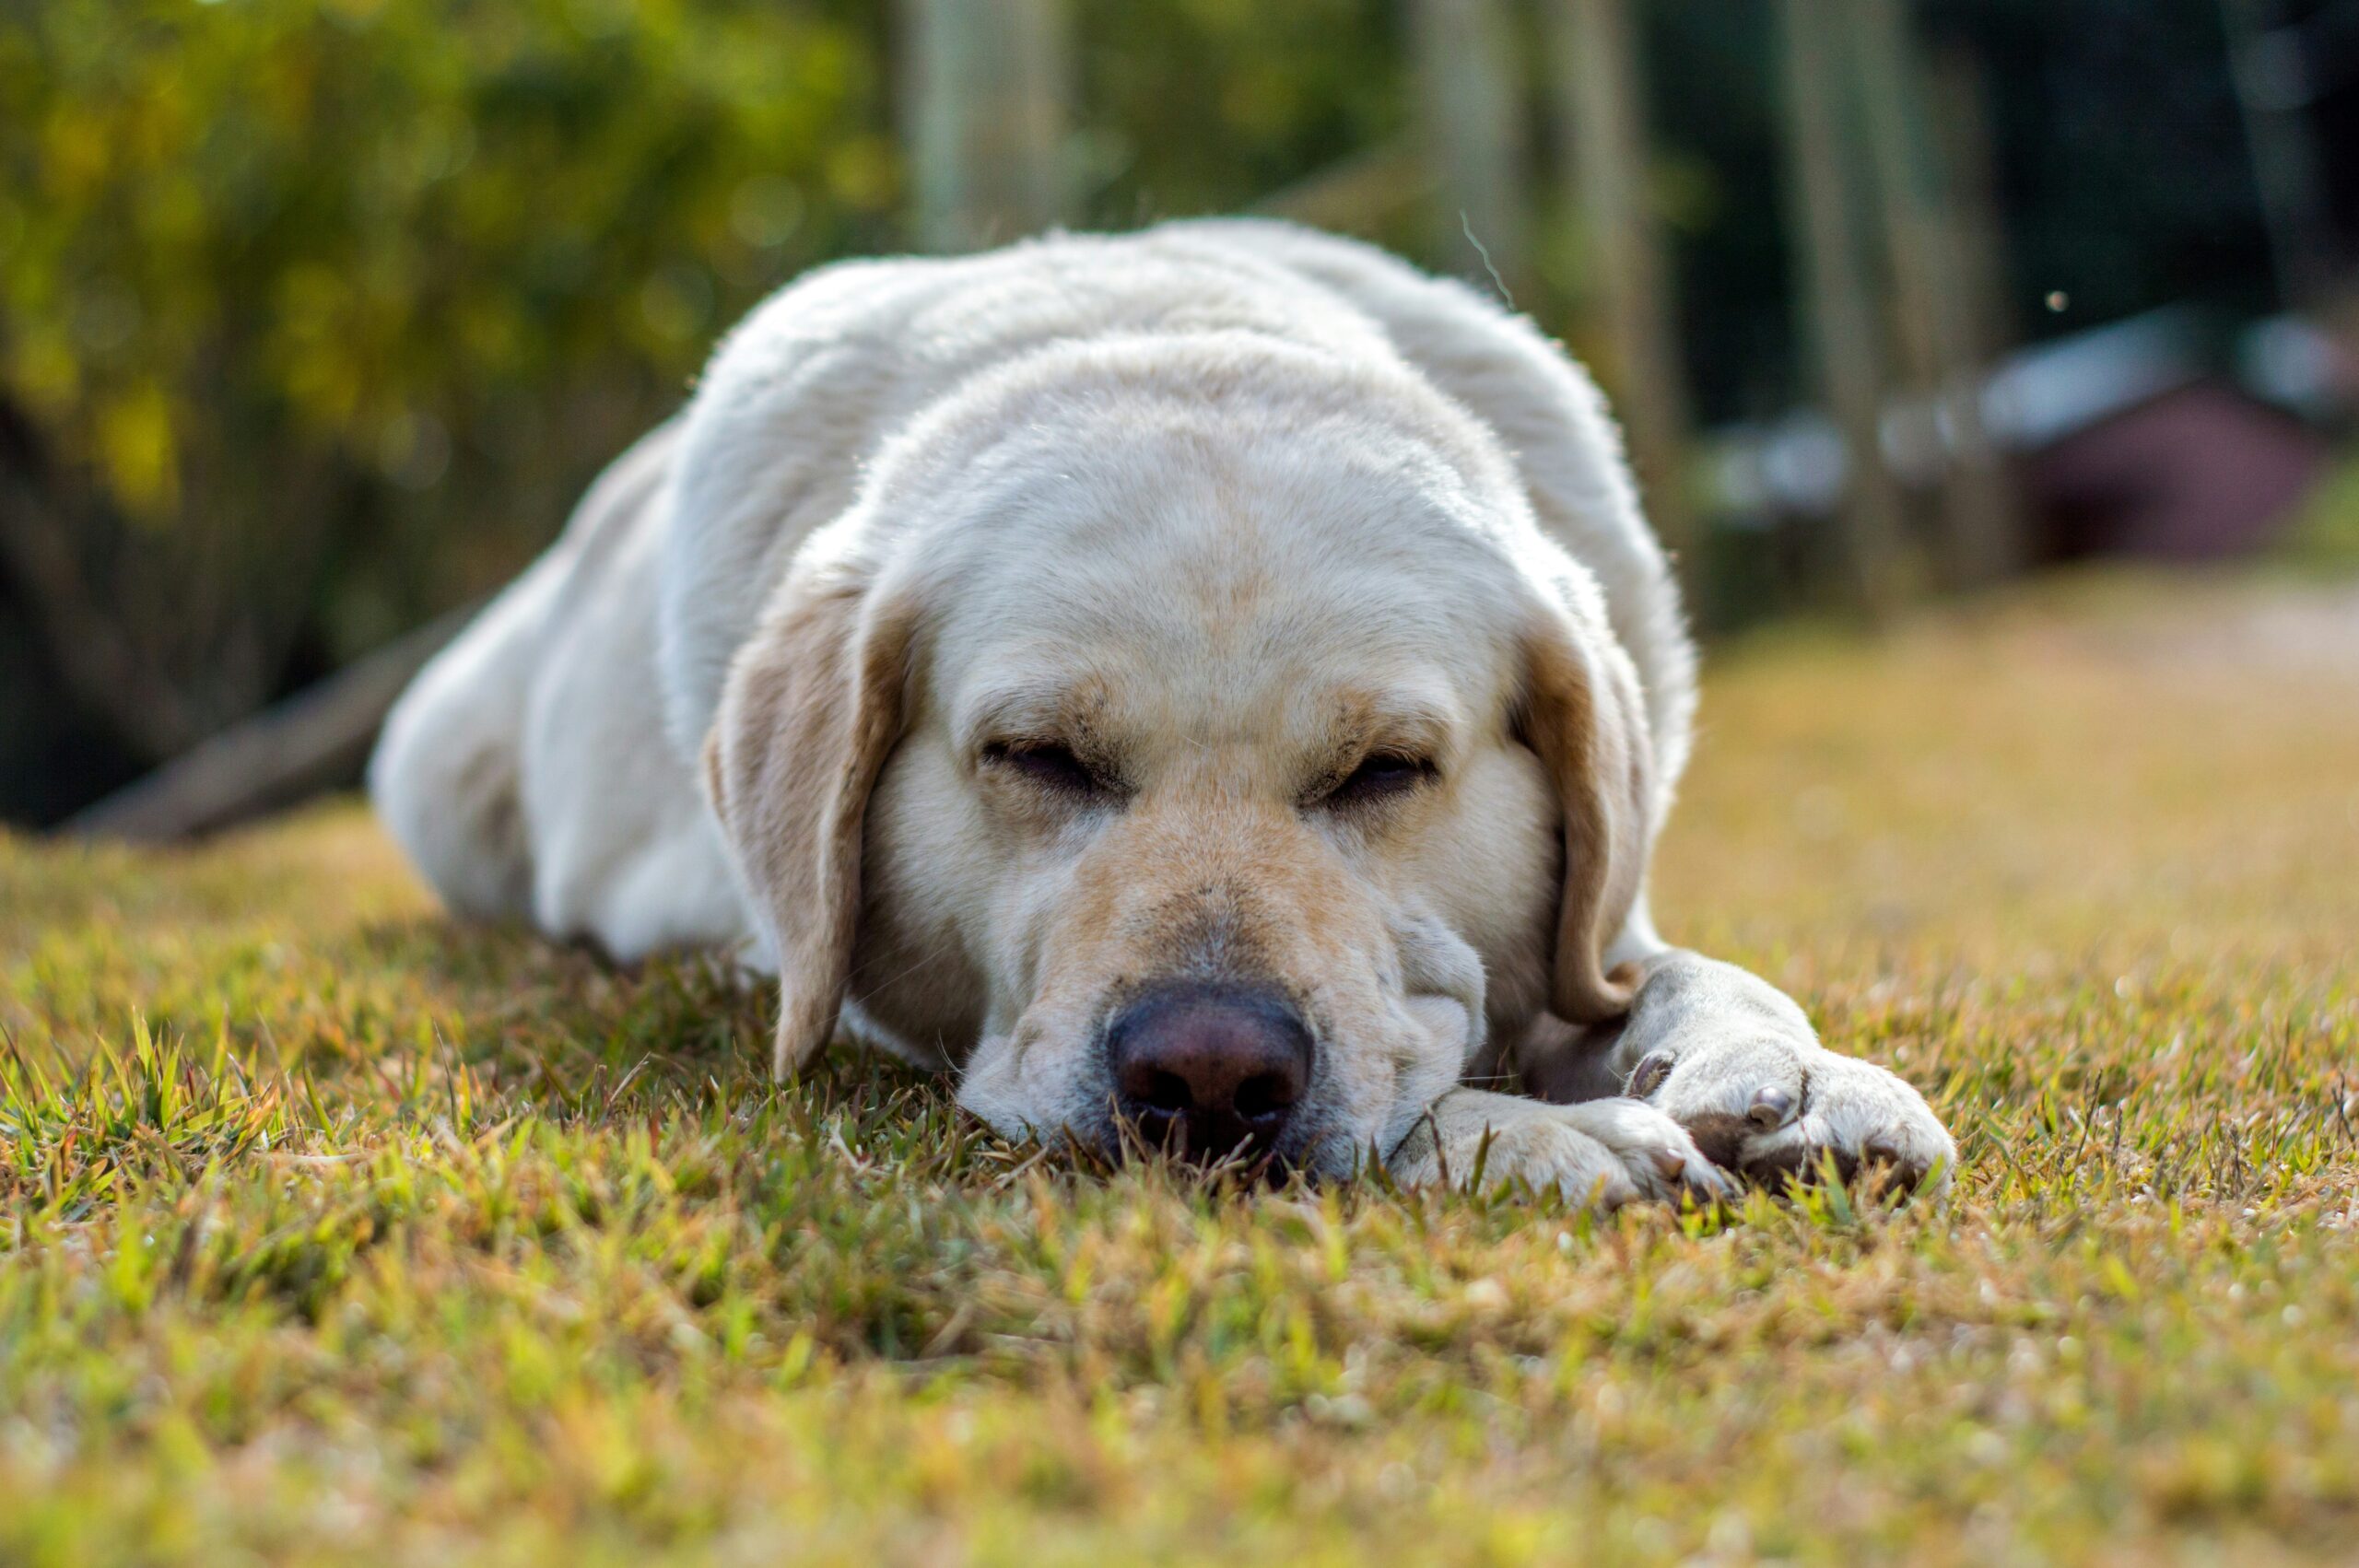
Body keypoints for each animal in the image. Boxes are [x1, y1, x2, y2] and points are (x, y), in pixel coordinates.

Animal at [372, 220, 1953, 1198]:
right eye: (1037, 755)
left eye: (1385, 769)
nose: (1205, 1075)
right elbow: (1417, 1081)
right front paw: (1537, 1135)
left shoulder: (1601, 939)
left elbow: (1674, 972)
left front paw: (1787, 1066)